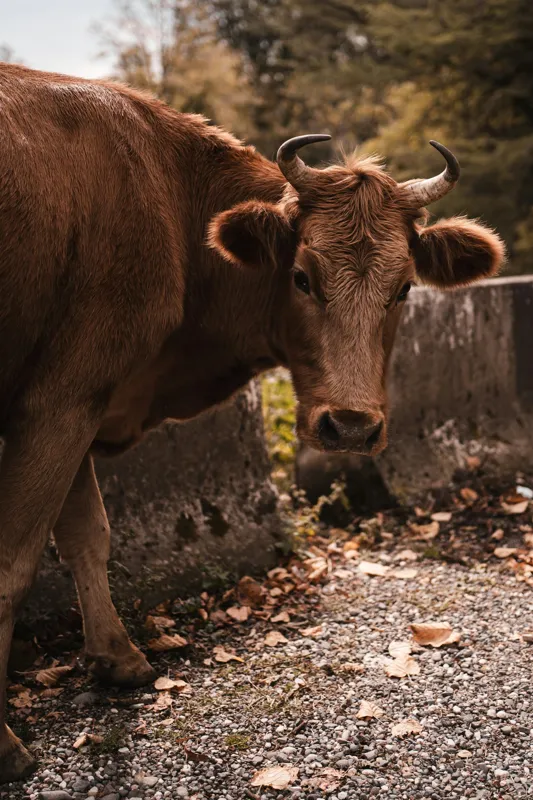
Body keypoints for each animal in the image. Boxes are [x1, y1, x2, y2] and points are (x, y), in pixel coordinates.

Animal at [0, 62, 505, 782]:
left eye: (404, 288)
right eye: (301, 276)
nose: (351, 425)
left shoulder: (73, 400)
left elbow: (86, 534)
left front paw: (118, 658)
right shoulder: (58, 401)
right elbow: (13, 565)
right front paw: (6, 745)